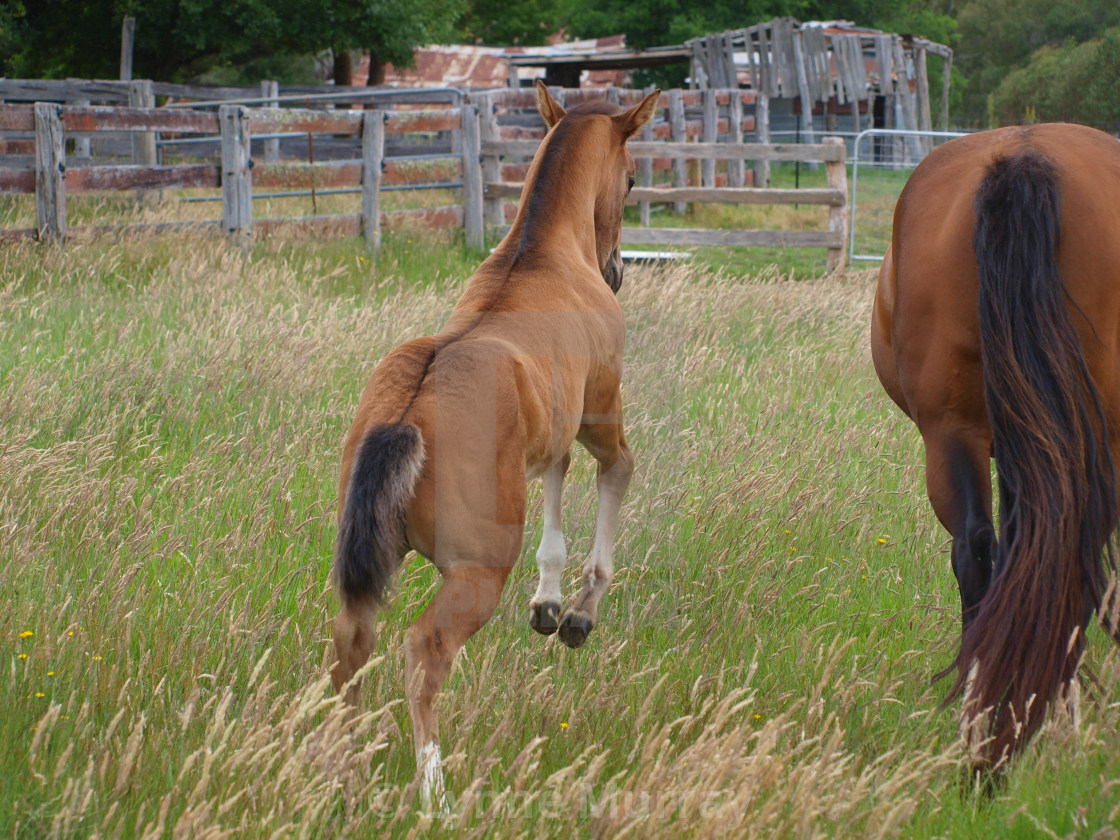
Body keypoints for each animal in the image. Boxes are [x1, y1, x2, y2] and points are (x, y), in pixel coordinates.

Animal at [327, 82, 658, 810]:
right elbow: (617, 473)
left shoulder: (551, 433)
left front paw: (548, 603)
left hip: (368, 565)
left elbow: (557, 488)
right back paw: (435, 791)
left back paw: (346, 776)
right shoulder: (599, 412)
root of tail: (407, 416)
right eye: (630, 177)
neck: (540, 253)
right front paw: (578, 614)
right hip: (477, 572)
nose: (617, 271)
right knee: (423, 652)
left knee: (351, 647)